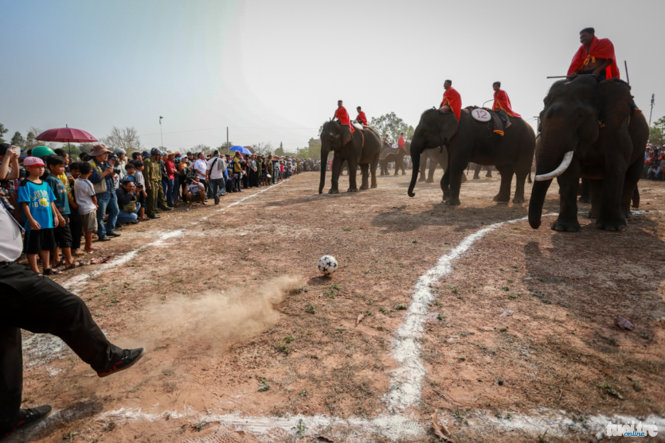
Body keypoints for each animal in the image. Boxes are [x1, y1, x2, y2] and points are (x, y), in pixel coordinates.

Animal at [408, 108, 536, 206]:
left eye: (424, 133)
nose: (413, 194)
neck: (447, 112)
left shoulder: (463, 137)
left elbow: (457, 164)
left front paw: (451, 203)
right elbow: (451, 163)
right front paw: (446, 199)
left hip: (526, 144)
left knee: (520, 170)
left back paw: (517, 201)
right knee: (505, 171)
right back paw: (499, 199)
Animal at [528, 76, 644, 232]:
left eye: (580, 115)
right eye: (540, 116)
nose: (538, 224)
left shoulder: (617, 129)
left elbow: (616, 167)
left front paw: (613, 228)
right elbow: (570, 172)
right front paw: (564, 228)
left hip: (642, 147)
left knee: (632, 176)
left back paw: (625, 218)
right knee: (596, 181)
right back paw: (594, 216)